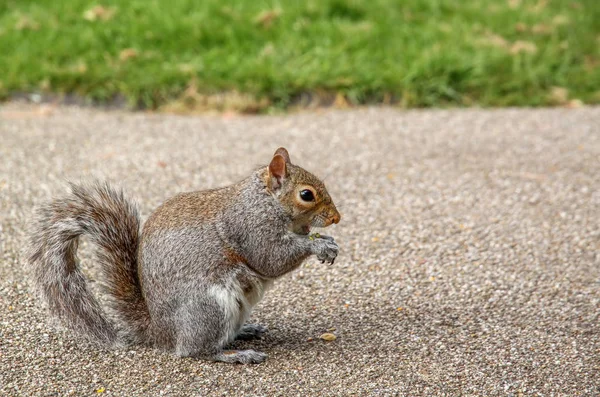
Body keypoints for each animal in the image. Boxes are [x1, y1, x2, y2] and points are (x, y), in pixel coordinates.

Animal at [28, 147, 342, 364]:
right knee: (195, 350)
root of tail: (160, 333)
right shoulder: (250, 228)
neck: (265, 200)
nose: (336, 218)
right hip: (209, 308)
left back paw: (245, 331)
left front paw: (327, 242)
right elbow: (271, 258)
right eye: (306, 195)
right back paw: (234, 355)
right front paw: (318, 246)